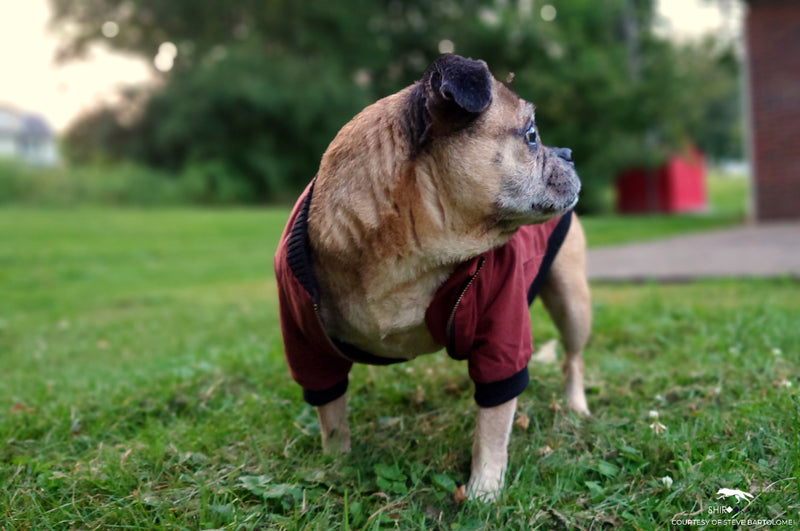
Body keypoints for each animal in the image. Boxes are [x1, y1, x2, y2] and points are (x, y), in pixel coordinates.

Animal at [272, 55, 592, 502]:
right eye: (531, 136)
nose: (567, 152)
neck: (409, 249)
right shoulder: (308, 342)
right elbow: (330, 414)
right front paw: (335, 465)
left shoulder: (502, 333)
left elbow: (492, 424)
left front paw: (483, 490)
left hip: (572, 300)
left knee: (573, 358)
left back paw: (576, 406)